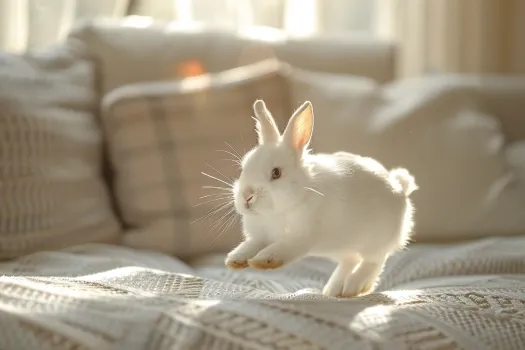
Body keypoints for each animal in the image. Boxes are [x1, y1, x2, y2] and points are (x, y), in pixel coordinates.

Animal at [223, 100, 416, 296]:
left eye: (276, 173)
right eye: (243, 168)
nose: (247, 196)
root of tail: (399, 186)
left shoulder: (301, 237)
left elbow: (283, 248)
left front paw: (263, 261)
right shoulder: (261, 237)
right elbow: (252, 245)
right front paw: (236, 259)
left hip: (375, 241)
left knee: (374, 261)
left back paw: (354, 287)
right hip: (341, 246)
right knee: (350, 260)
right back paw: (333, 289)